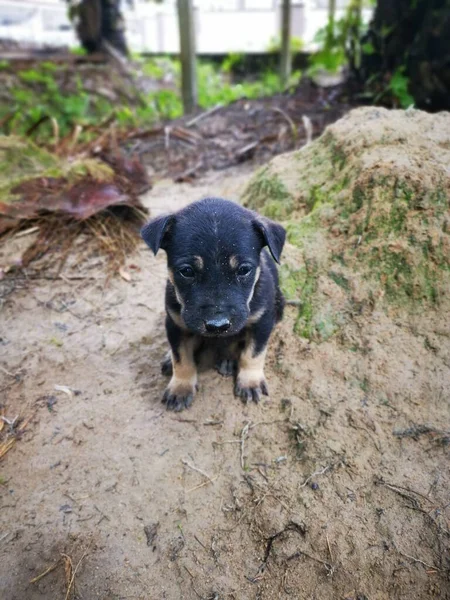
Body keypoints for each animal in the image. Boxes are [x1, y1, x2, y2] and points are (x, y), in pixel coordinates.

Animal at [141, 199, 284, 410]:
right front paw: (180, 387)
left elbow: (253, 354)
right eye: (186, 271)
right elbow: (181, 358)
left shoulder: (263, 322)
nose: (217, 325)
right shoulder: (175, 323)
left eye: (244, 270)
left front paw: (250, 382)